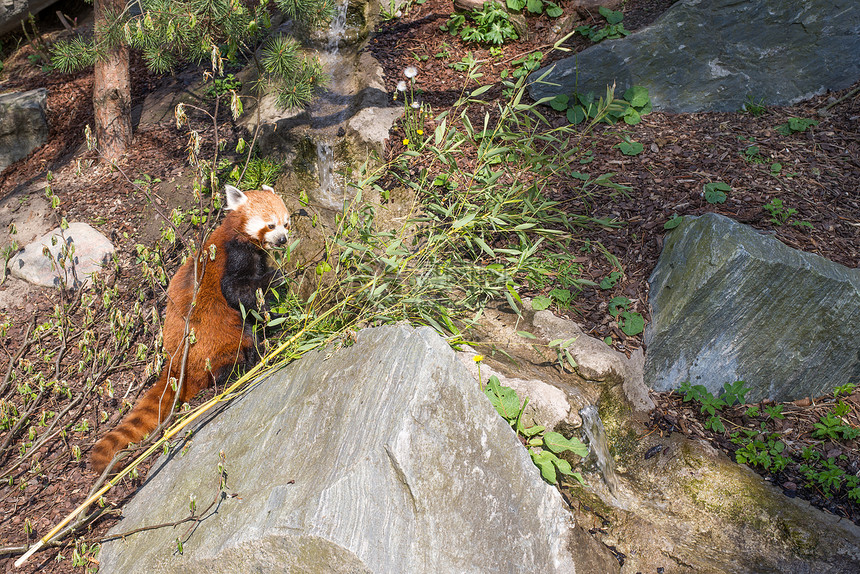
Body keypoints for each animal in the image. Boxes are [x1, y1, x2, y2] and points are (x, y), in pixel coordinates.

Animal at [93, 186, 290, 476]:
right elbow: (238, 294)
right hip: (217, 340)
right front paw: (274, 291)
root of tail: (176, 363)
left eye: (286, 223)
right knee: (238, 345)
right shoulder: (234, 257)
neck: (237, 235)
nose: (283, 240)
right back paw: (247, 361)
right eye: (270, 225)